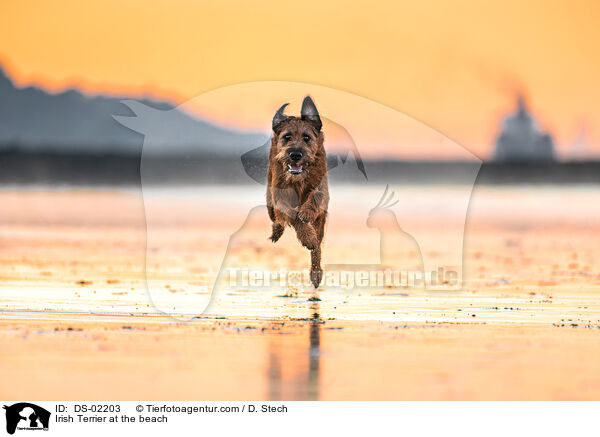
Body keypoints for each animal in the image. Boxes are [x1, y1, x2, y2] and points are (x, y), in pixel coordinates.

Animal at [268, 96, 330, 288]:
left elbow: (315, 198)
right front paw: (307, 237)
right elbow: (292, 216)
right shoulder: (280, 197)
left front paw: (307, 213)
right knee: (275, 217)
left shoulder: (322, 190)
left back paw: (316, 273)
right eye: (287, 137)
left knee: (318, 247)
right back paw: (277, 231)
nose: (295, 154)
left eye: (307, 138)